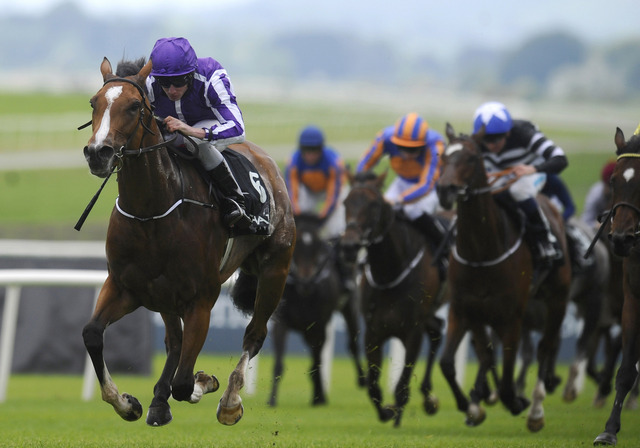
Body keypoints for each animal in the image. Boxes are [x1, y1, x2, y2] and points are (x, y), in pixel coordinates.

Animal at [79, 59, 296, 428]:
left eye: (134, 106)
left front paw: (205, 382)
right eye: (95, 102)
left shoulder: (201, 300)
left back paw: (230, 401)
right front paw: (127, 403)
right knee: (174, 341)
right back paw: (158, 402)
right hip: (164, 295)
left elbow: (184, 382)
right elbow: (93, 333)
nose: (98, 153)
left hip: (274, 270)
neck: (151, 212)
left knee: (254, 334)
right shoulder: (126, 287)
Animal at [266, 213, 364, 406]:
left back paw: (361, 380)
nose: (306, 282)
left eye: (318, 245)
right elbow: (279, 362)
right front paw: (272, 399)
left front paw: (319, 397)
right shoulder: (281, 324)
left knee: (352, 343)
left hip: (350, 308)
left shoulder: (319, 324)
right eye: (295, 245)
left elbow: (316, 361)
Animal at [340, 169, 444, 428]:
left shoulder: (412, 332)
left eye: (374, 205)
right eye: (345, 202)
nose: (349, 246)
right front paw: (386, 412)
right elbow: (372, 386)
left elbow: (401, 386)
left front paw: (396, 416)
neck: (390, 272)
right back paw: (428, 396)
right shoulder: (373, 332)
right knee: (438, 330)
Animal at [436, 124, 568, 432]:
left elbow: (508, 380)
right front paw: (471, 406)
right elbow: (449, 363)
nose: (445, 189)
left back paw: (535, 409)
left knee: (545, 347)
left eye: (472, 158)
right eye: (443, 157)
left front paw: (515, 401)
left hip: (558, 298)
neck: (482, 252)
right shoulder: (464, 309)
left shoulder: (511, 317)